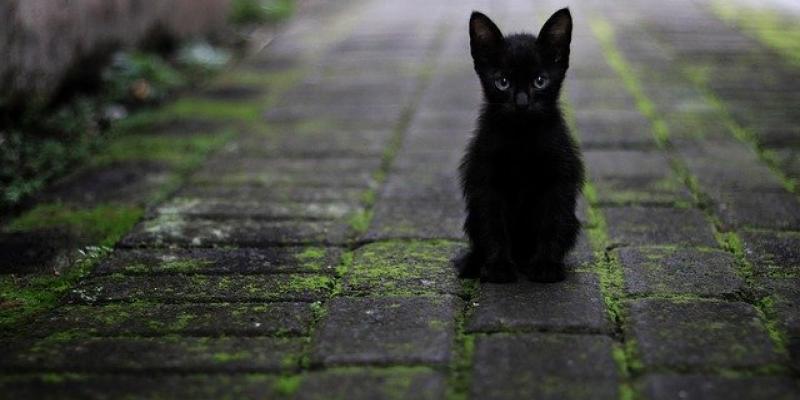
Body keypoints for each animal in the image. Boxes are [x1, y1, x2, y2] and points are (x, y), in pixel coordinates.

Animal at [460, 10, 584, 284]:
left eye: (539, 81)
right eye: (502, 82)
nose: (522, 102)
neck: (522, 137)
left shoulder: (559, 179)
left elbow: (552, 222)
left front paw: (546, 265)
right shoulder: (486, 182)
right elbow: (493, 224)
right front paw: (498, 267)